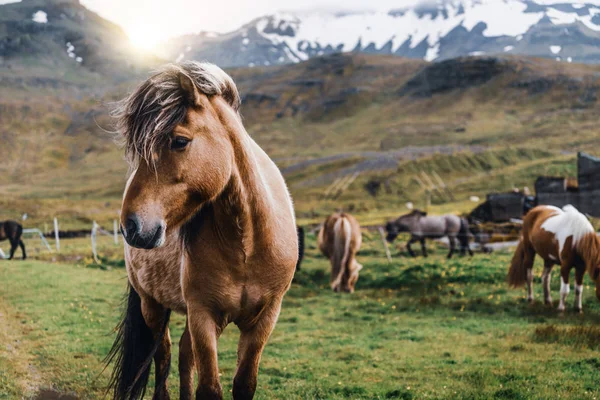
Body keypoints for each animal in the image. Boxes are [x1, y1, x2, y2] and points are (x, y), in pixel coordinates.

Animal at [106, 61, 298, 400]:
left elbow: (244, 384)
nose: (131, 226)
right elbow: (209, 387)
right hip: (152, 304)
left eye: (179, 141)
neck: (248, 245)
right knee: (164, 354)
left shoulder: (264, 318)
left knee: (184, 355)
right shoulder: (203, 314)